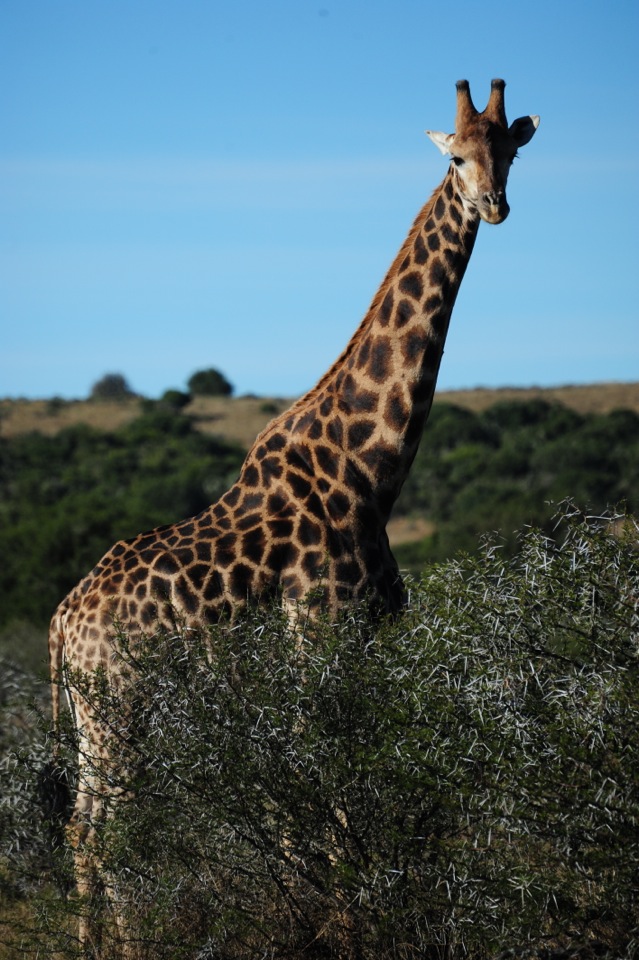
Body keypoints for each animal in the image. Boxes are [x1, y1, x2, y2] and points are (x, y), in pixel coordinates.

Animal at [49, 79, 538, 955]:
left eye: (508, 152)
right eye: (453, 156)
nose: (493, 204)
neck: (372, 469)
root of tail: (62, 624)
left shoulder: (368, 638)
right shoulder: (321, 636)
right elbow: (333, 798)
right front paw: (346, 926)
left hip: (93, 715)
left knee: (83, 827)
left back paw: (89, 943)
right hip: (119, 708)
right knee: (112, 830)